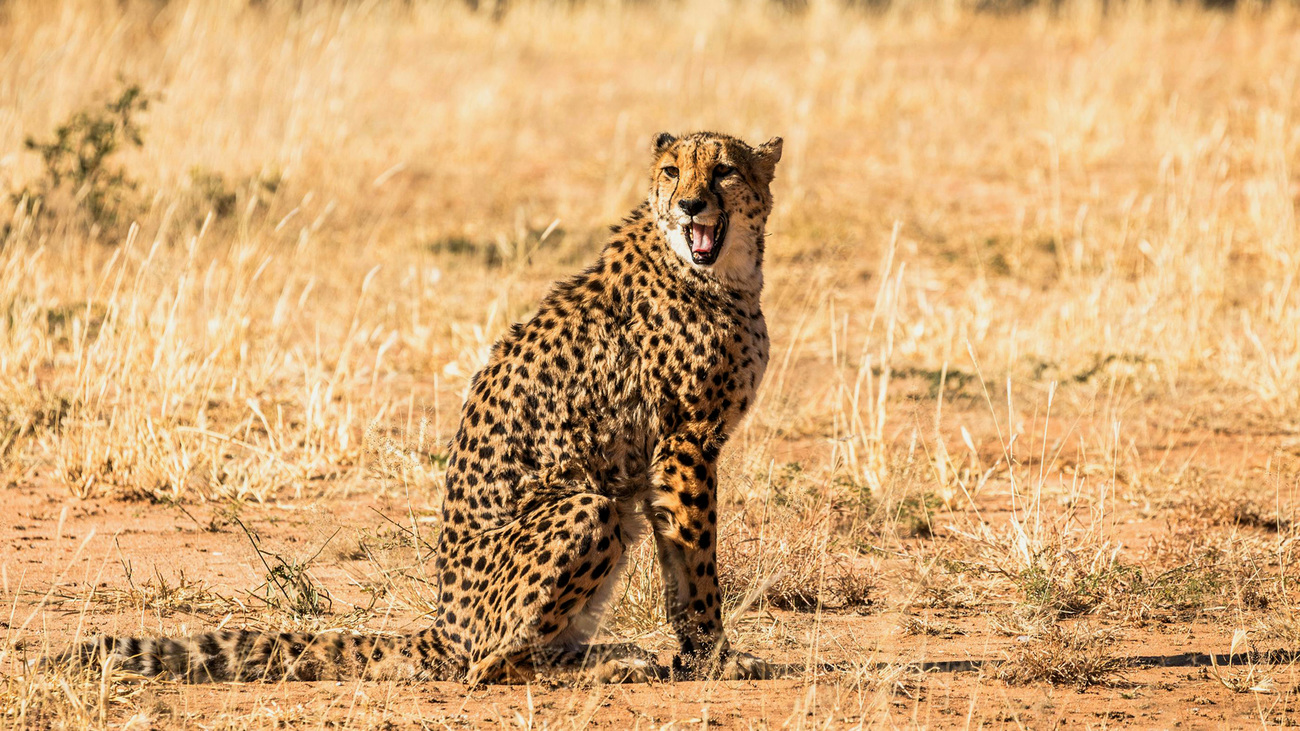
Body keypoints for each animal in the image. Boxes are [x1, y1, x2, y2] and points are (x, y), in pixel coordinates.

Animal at [45, 130, 783, 685]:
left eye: (723, 170)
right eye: (671, 171)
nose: (689, 205)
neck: (721, 270)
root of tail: (443, 625)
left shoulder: (675, 451)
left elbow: (680, 563)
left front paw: (699, 655)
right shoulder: (685, 443)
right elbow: (696, 562)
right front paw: (715, 657)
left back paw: (608, 654)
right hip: (587, 506)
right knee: (488, 666)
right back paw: (608, 665)